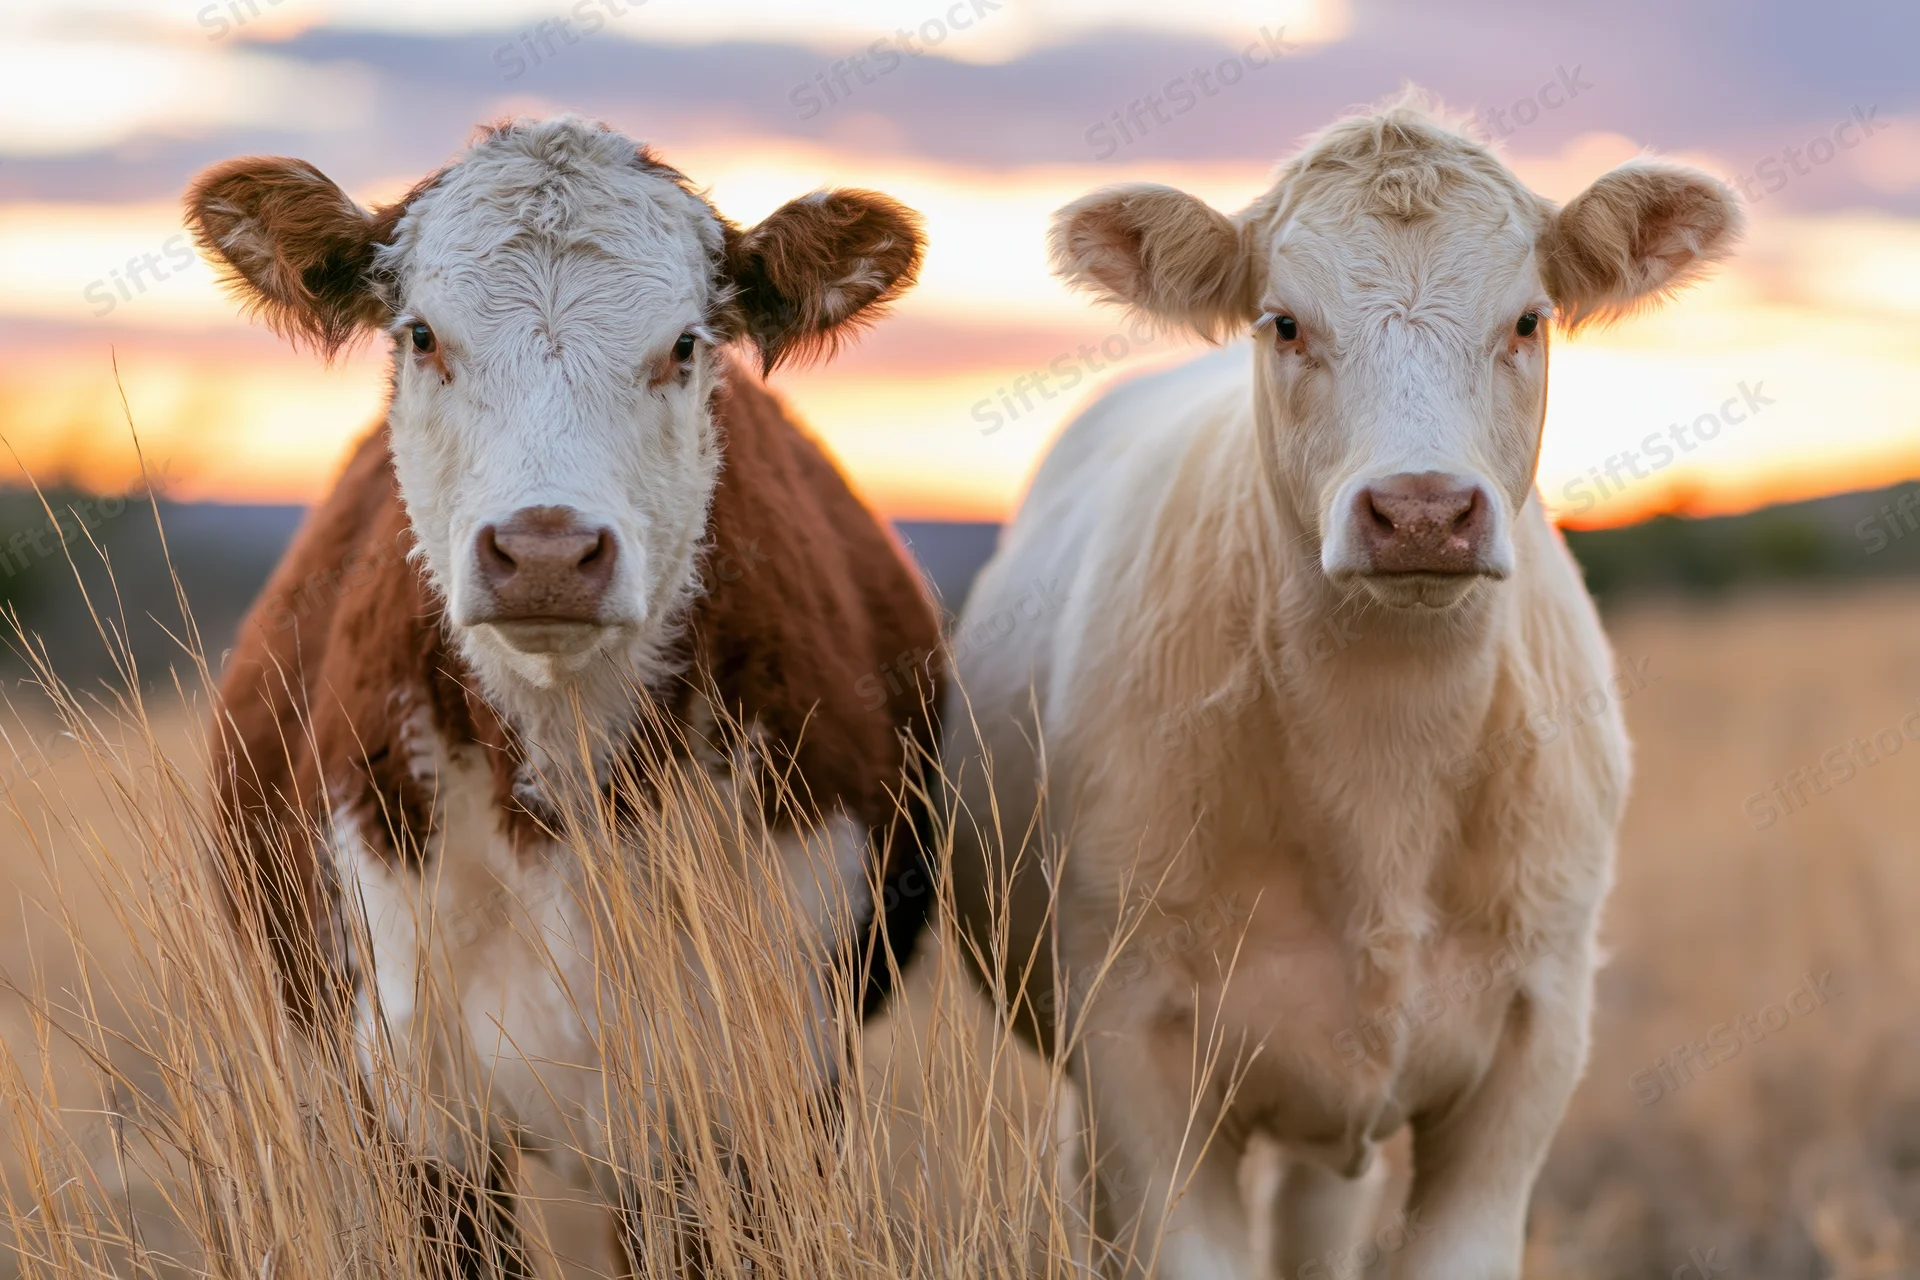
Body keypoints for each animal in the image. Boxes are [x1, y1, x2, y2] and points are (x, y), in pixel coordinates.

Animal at [944, 100, 1739, 1279]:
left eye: (1528, 319)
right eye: (1282, 322)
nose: (1420, 511)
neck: (1383, 760)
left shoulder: (1534, 1037)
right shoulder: (1134, 1046)